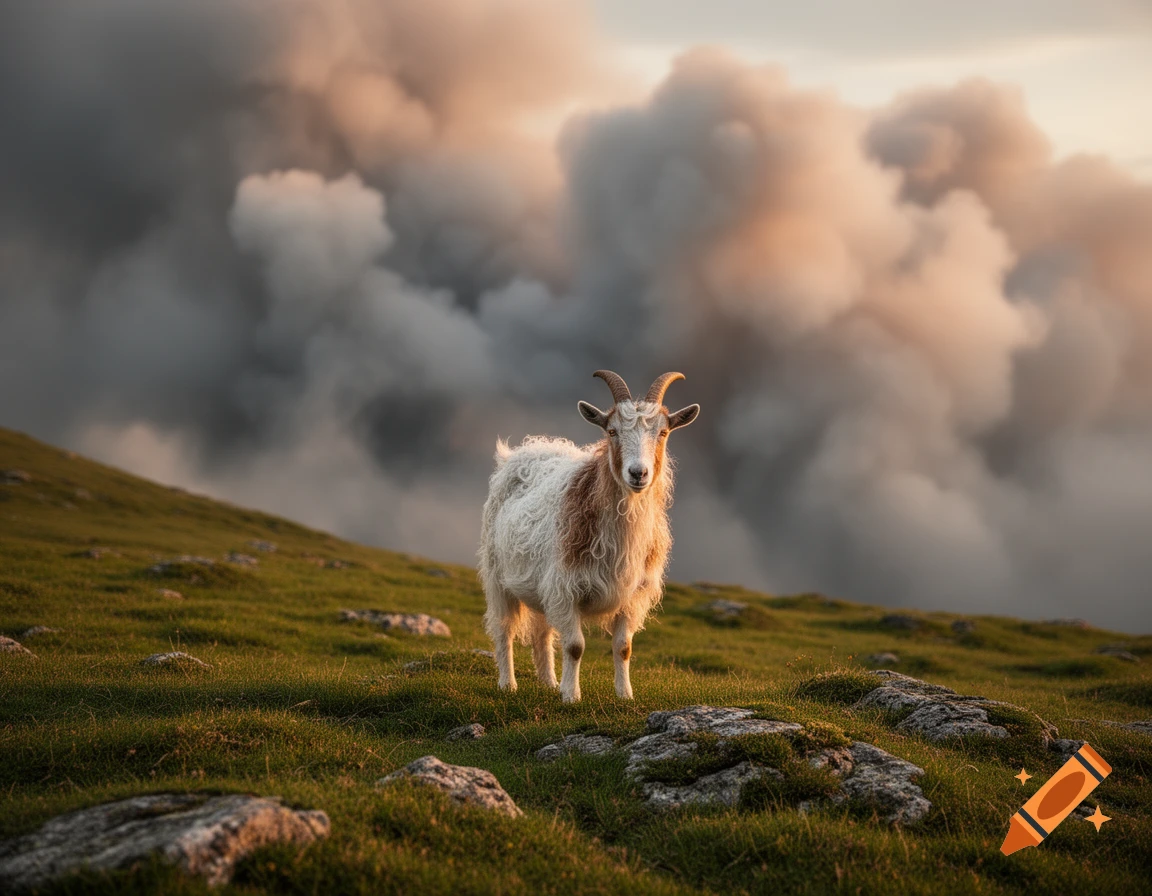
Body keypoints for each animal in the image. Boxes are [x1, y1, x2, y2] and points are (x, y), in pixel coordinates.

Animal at [478, 370, 700, 702]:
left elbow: (623, 648)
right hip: (498, 576)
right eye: (612, 431)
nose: (638, 473)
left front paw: (624, 694)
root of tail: (524, 450)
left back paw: (548, 681)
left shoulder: (632, 595)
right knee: (504, 628)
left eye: (662, 432)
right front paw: (571, 696)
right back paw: (509, 683)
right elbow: (574, 646)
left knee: (542, 632)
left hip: (541, 586)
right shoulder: (566, 587)